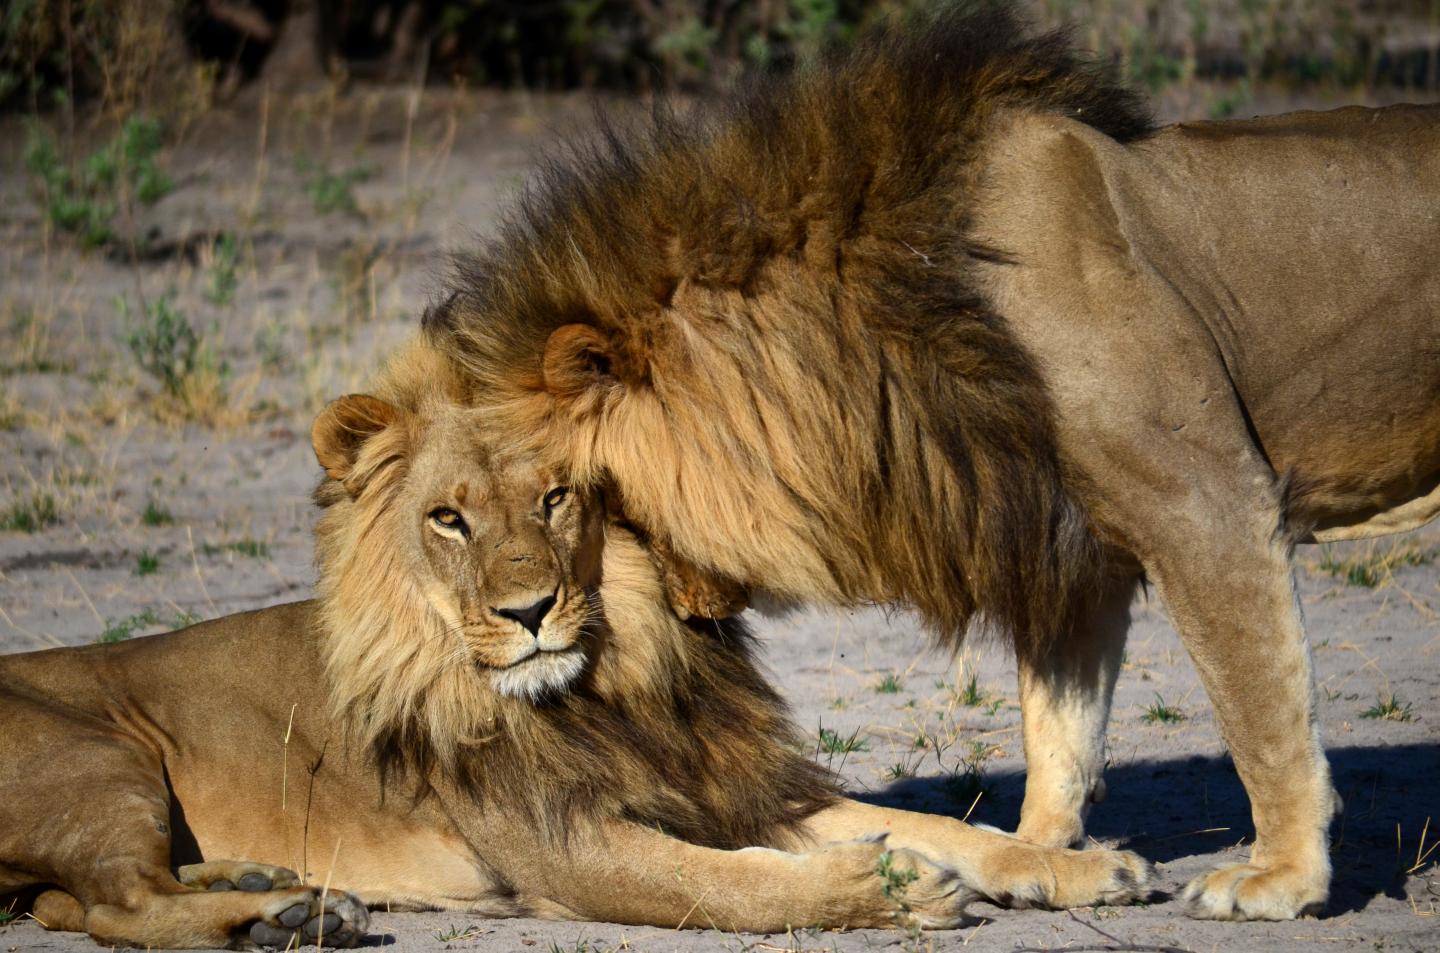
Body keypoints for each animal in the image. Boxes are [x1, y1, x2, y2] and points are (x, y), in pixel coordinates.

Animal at [0, 347, 1150, 950]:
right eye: (449, 518)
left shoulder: (726, 788)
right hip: (103, 753)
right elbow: (730, 886)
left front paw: (1081, 865)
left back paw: (274, 889)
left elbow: (939, 822)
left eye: (555, 497)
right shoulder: (566, 848)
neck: (611, 682)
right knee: (117, 902)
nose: (530, 610)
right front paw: (892, 888)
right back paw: (284, 916)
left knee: (91, 896)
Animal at [423, 4, 1440, 924]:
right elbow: (1060, 727)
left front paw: (1282, 879)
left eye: (583, 505)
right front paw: (1042, 857)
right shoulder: (1063, 541)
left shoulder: (1205, 496)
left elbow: (1261, 703)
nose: (683, 613)